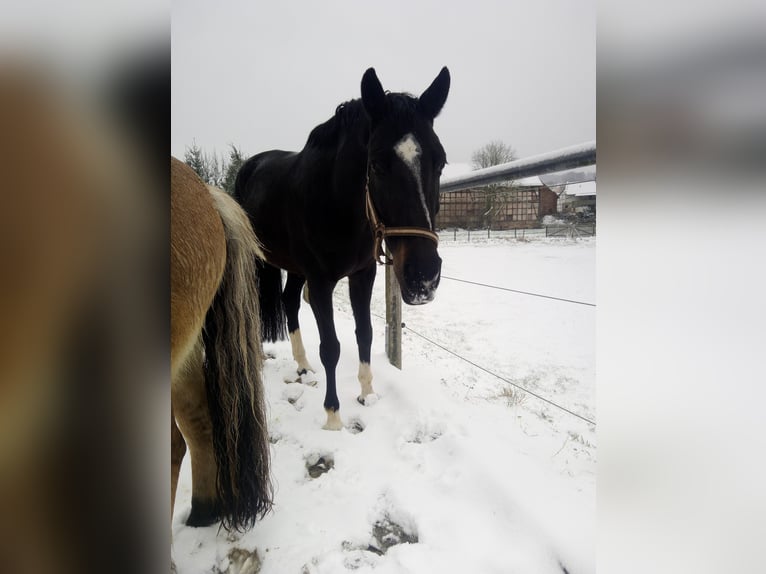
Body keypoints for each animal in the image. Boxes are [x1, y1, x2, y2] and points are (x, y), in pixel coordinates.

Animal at [236, 67, 450, 432]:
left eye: (441, 163)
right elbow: (331, 347)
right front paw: (333, 416)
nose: (423, 276)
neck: (334, 202)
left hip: (295, 268)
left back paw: (304, 367)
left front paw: (368, 394)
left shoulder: (362, 274)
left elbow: (364, 333)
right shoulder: (321, 282)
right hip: (260, 262)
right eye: (376, 165)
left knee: (289, 302)